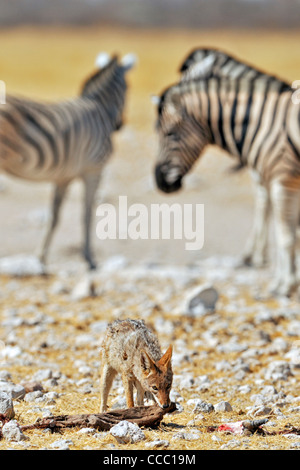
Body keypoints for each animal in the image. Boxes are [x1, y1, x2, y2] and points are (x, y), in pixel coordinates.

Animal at [0, 51, 136, 270]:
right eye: (128, 88)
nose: (120, 125)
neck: (99, 107)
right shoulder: (94, 170)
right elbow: (87, 214)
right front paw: (89, 259)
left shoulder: (64, 177)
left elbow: (54, 217)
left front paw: (41, 257)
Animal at [155, 52, 300, 294]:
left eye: (170, 133)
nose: (160, 181)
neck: (263, 122)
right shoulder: (280, 182)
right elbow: (286, 229)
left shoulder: (282, 181)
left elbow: (285, 234)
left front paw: (285, 284)